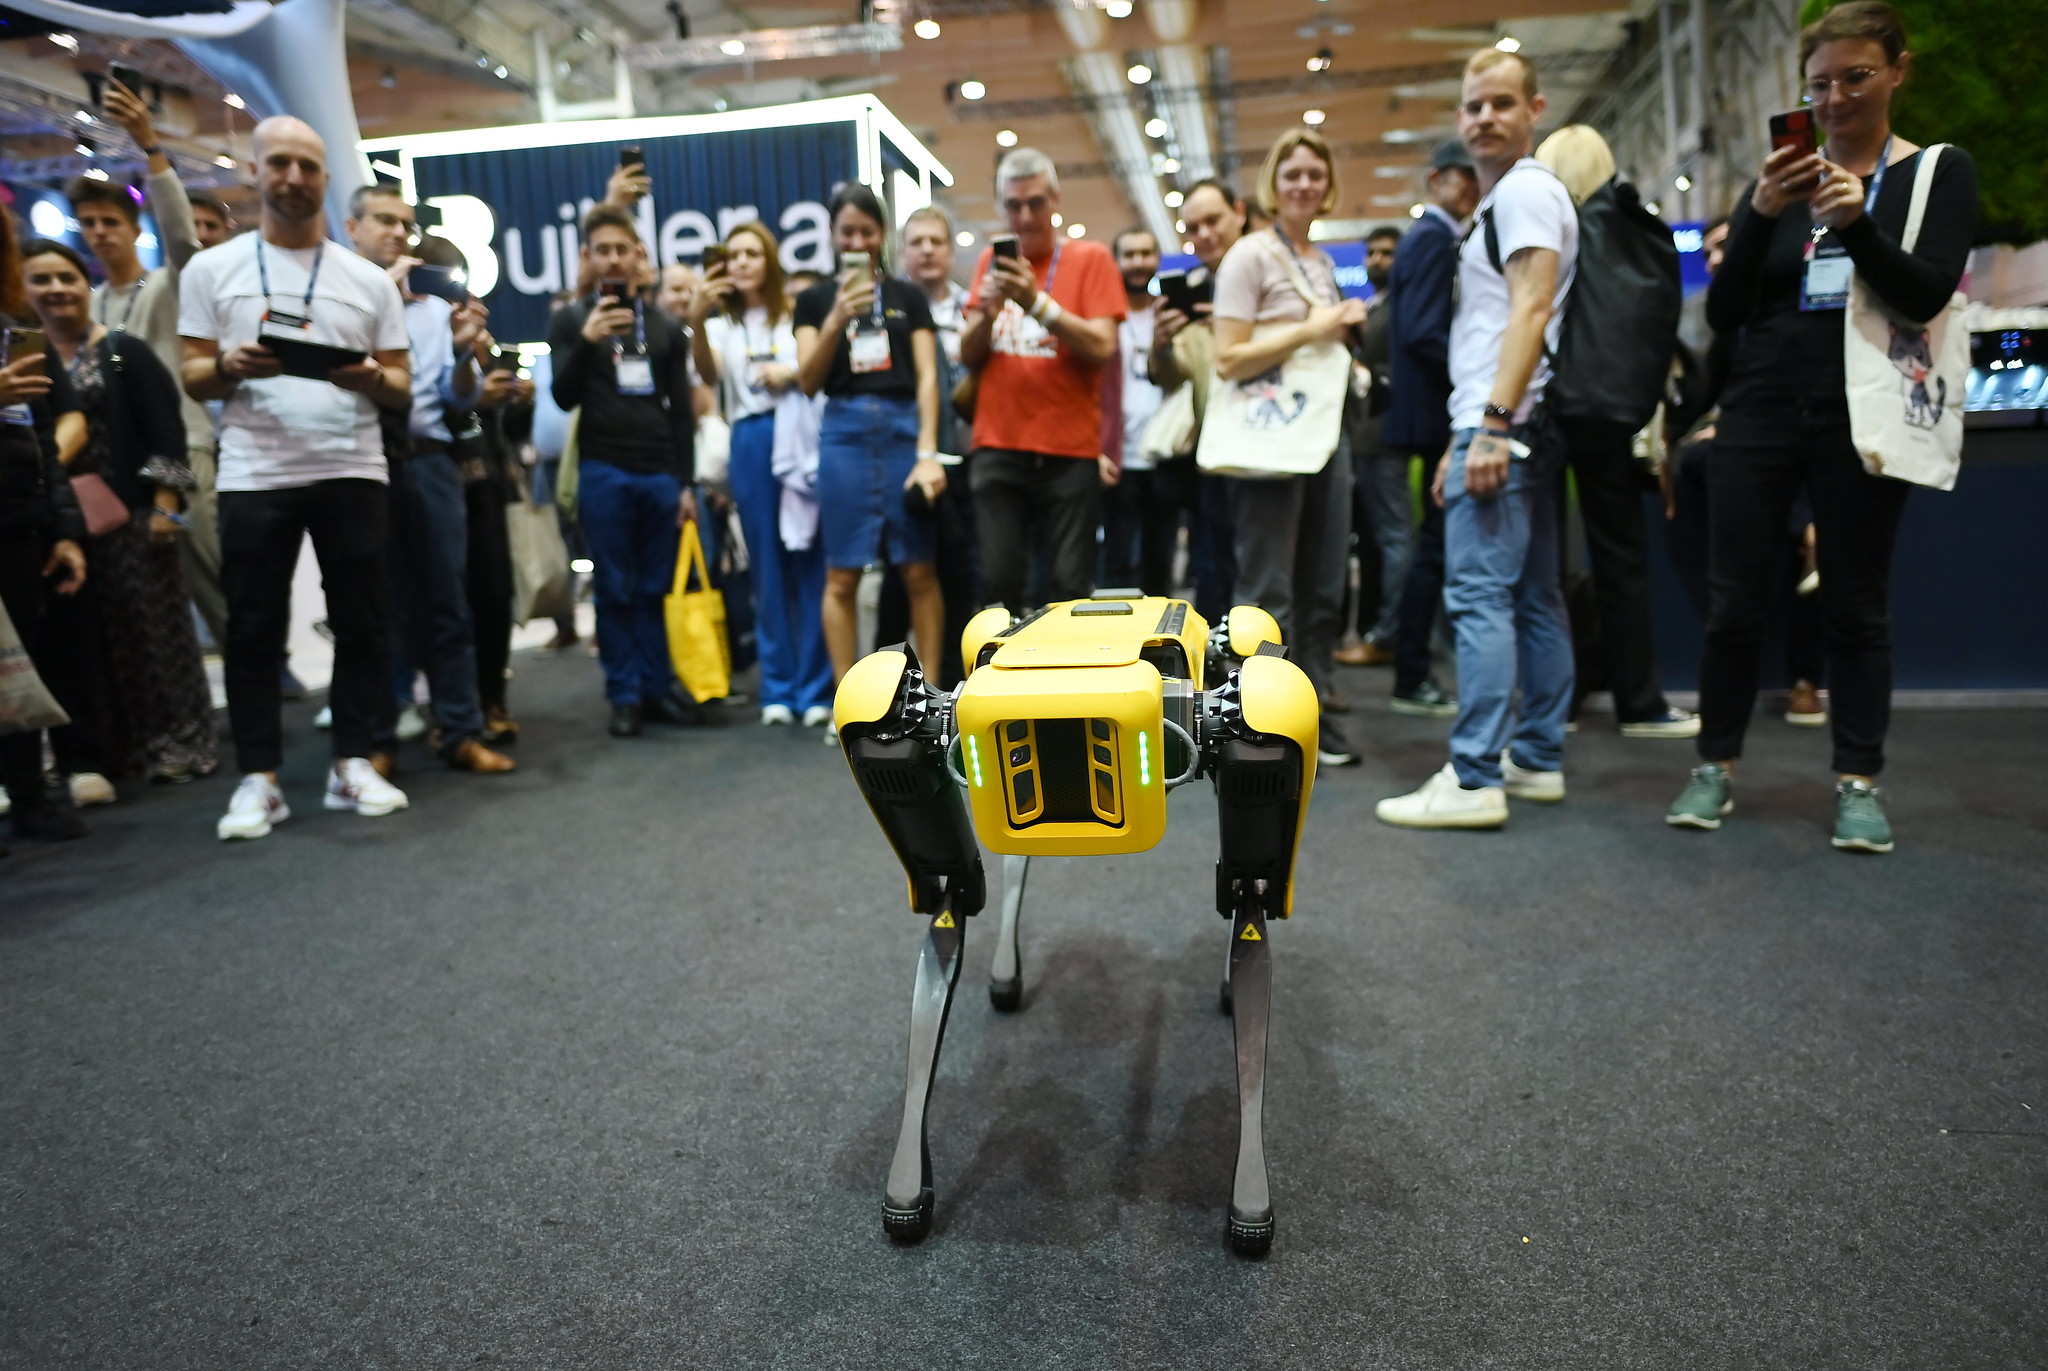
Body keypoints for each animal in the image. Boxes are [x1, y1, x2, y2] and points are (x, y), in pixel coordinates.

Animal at [839, 594, 1318, 1254]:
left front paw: (1249, 1195)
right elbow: (949, 899)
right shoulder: (902, 725)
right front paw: (908, 1180)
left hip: (1255, 696)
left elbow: (1254, 898)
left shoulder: (1262, 727)